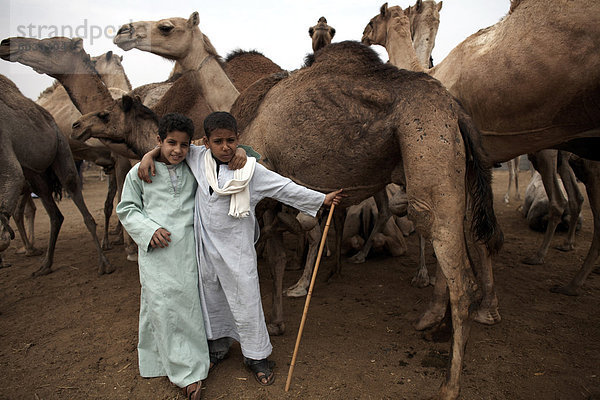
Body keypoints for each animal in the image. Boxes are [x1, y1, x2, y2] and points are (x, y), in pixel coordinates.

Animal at [0, 73, 113, 276]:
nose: (76, 126)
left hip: (59, 152)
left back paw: (103, 263)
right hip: (35, 177)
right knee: (50, 212)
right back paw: (43, 263)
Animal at [360, 0, 600, 328]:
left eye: (373, 20)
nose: (363, 35)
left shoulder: (457, 160)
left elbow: (462, 231)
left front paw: (444, 308)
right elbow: (477, 234)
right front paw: (485, 302)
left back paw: (567, 279)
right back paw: (570, 277)